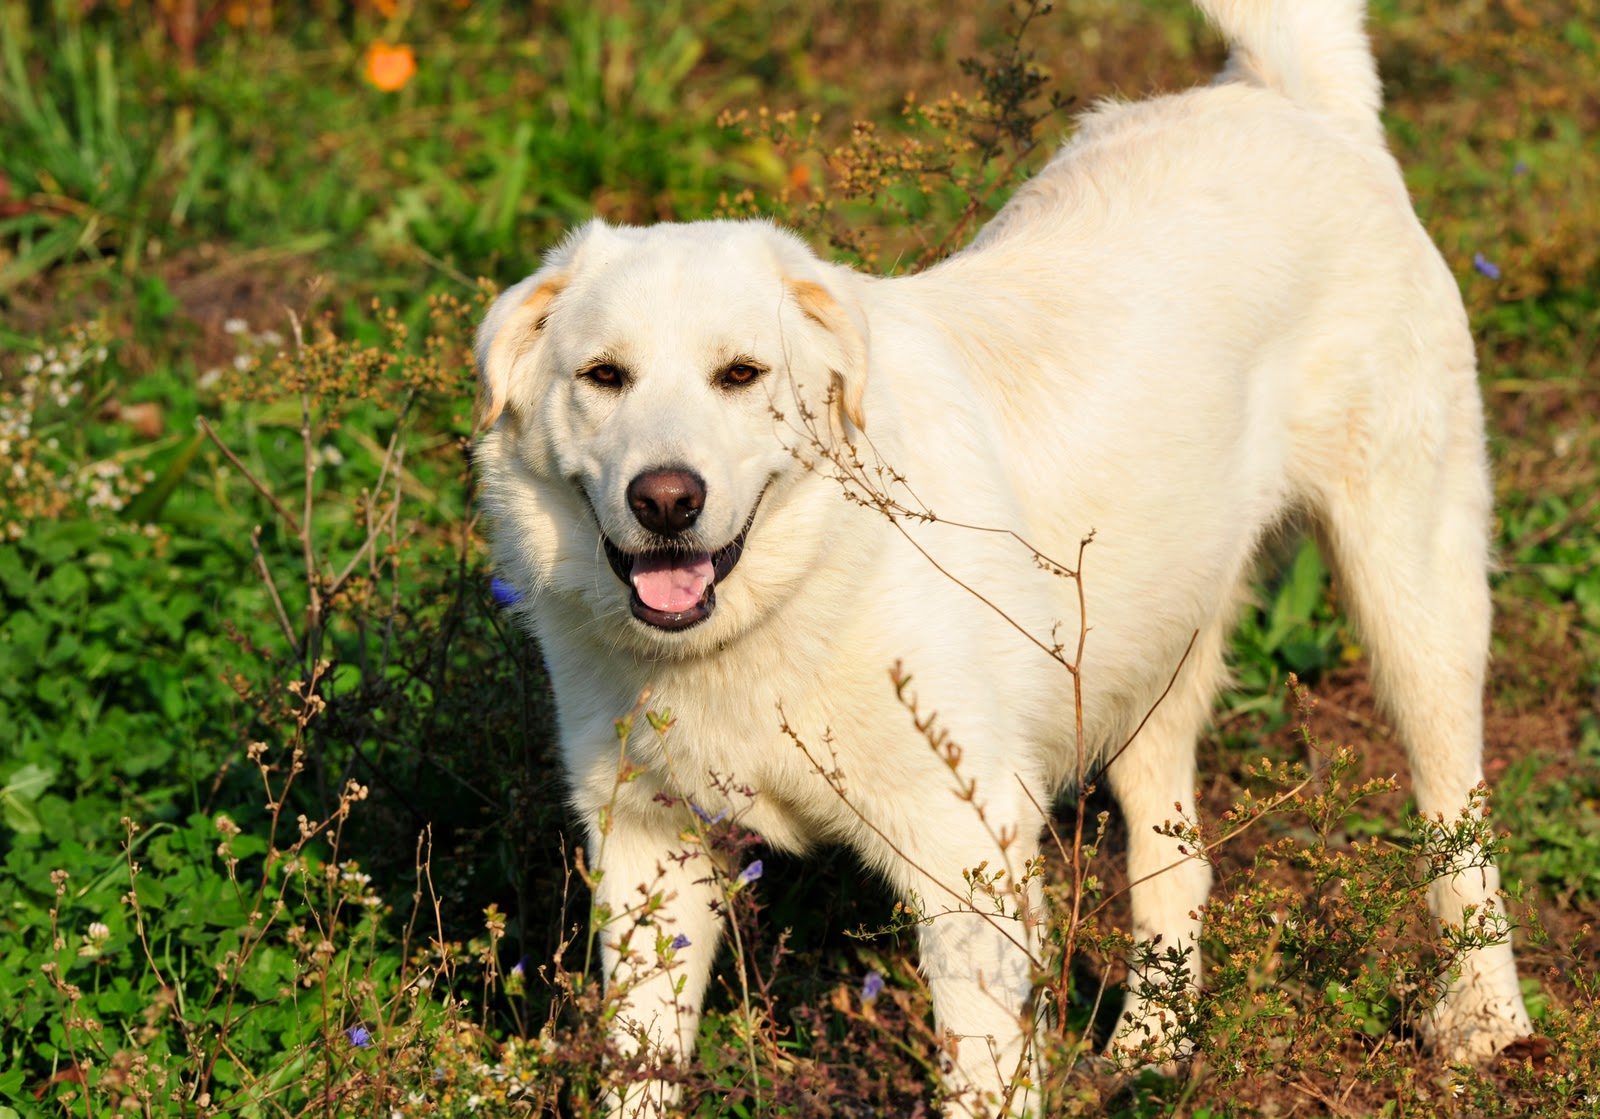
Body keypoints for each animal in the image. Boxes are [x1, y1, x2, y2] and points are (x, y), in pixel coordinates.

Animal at [476, 2, 1536, 1114]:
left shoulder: (965, 860)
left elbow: (981, 1075)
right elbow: (639, 1065)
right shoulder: (649, 847)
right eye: (604, 375)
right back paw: (1150, 1048)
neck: (797, 588)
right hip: (1144, 665)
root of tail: (1288, 97)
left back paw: (1487, 1023)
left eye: (740, 375)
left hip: (1413, 603)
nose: (666, 499)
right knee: (1177, 861)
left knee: (1457, 821)